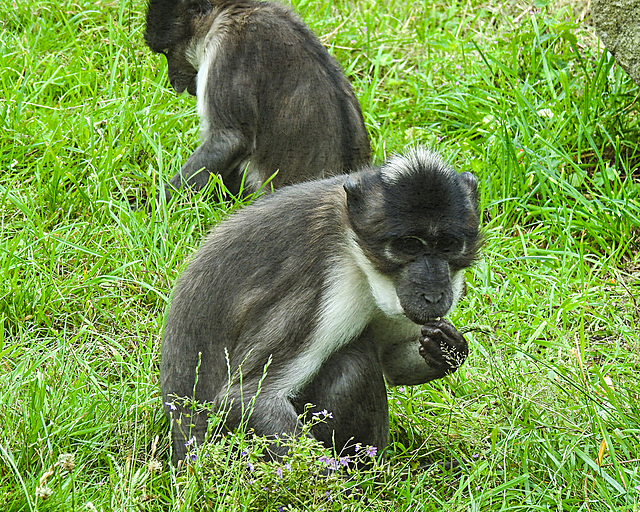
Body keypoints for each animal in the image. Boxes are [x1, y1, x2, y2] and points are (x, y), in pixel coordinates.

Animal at [161, 147, 484, 464]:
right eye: (409, 245)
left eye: (447, 244)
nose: (433, 293)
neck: (354, 247)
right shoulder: (325, 280)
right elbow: (245, 398)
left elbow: (390, 361)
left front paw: (448, 348)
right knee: (352, 363)